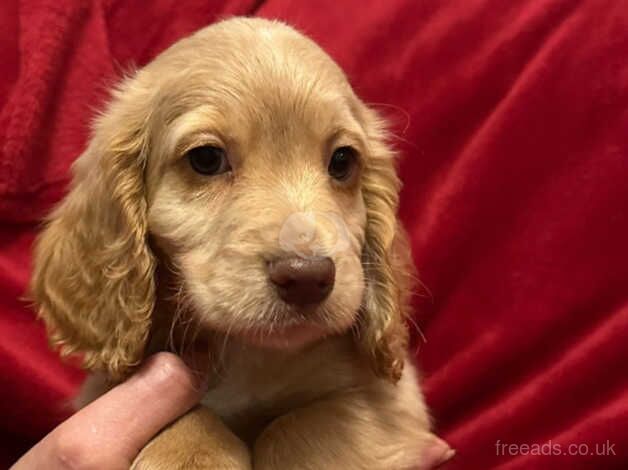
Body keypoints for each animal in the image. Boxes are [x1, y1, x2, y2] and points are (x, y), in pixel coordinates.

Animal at [30, 17, 446, 470]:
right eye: (206, 158)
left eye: (342, 161)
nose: (307, 278)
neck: (247, 356)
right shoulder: (105, 390)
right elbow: (190, 417)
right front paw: (192, 453)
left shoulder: (393, 404)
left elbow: (297, 427)